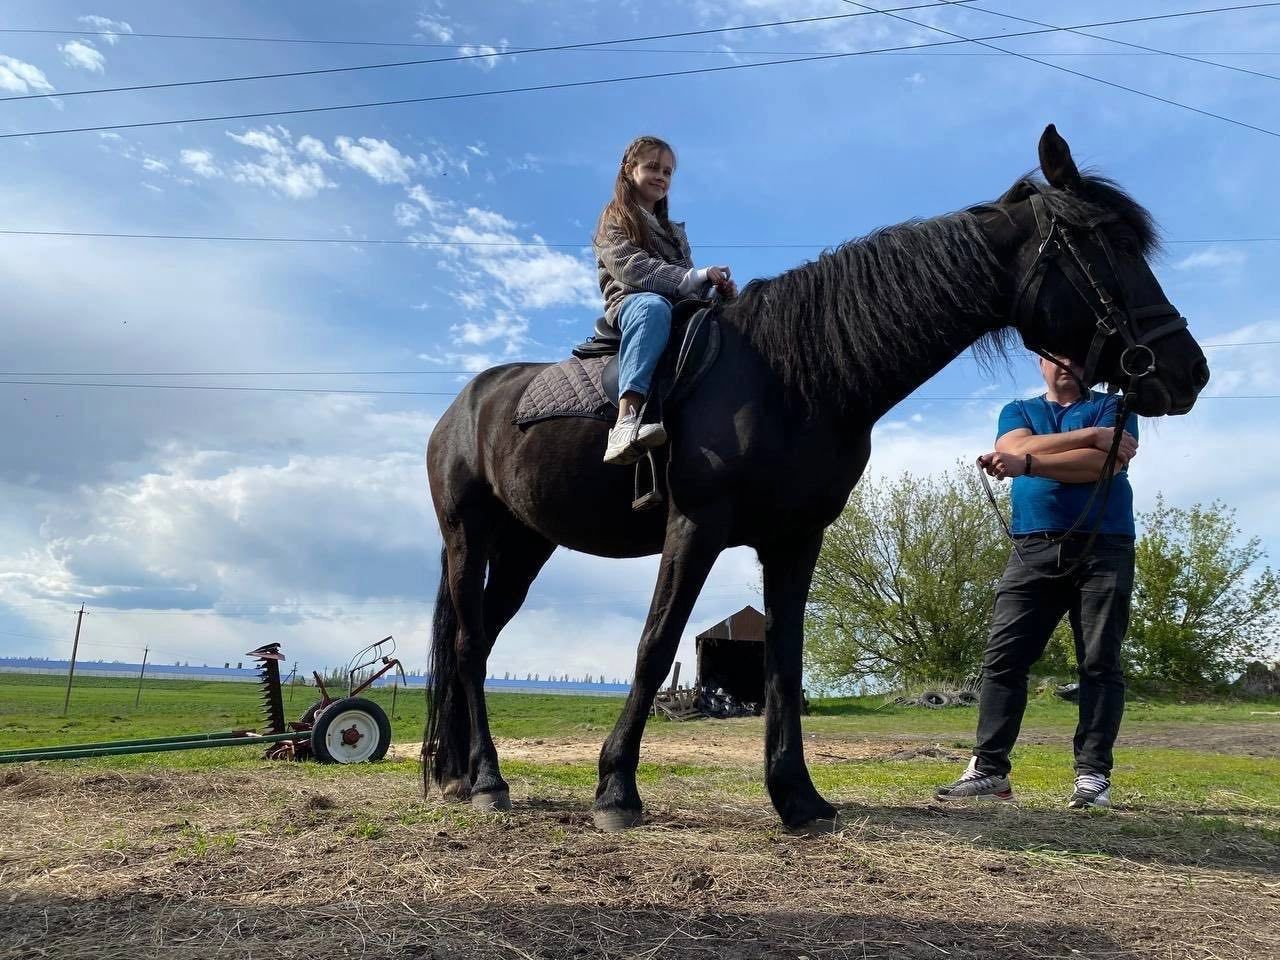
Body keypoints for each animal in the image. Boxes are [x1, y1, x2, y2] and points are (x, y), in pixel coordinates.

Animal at [422, 126, 1208, 834]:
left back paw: (460, 775)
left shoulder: (796, 541)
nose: (1187, 371)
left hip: (526, 545)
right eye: (1106, 246)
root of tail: (464, 405)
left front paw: (797, 799)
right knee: (467, 647)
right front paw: (617, 791)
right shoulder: (695, 526)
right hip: (468, 536)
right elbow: (654, 645)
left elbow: (784, 665)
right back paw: (488, 781)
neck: (794, 375)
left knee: (476, 645)